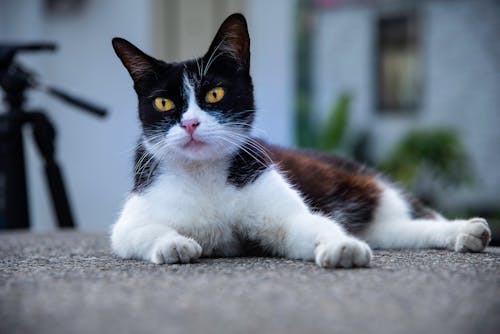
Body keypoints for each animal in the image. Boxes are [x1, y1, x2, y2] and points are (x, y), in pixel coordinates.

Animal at [108, 13, 488, 268]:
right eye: (164, 103)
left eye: (215, 93)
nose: (190, 123)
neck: (205, 177)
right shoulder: (131, 220)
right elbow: (138, 232)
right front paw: (174, 244)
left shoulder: (282, 213)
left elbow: (312, 225)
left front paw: (340, 247)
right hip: (380, 225)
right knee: (399, 229)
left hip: (368, 185)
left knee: (417, 214)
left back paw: (465, 229)